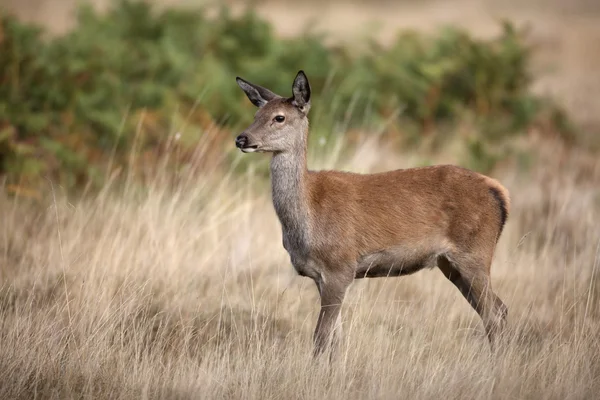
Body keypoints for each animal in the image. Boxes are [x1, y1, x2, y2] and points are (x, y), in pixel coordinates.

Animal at [234, 70, 510, 354]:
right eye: (256, 115)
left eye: (279, 117)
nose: (242, 138)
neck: (309, 216)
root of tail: (499, 191)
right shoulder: (321, 276)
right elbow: (336, 338)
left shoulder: (340, 266)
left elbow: (321, 336)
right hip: (450, 264)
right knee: (497, 309)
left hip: (475, 252)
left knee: (495, 313)